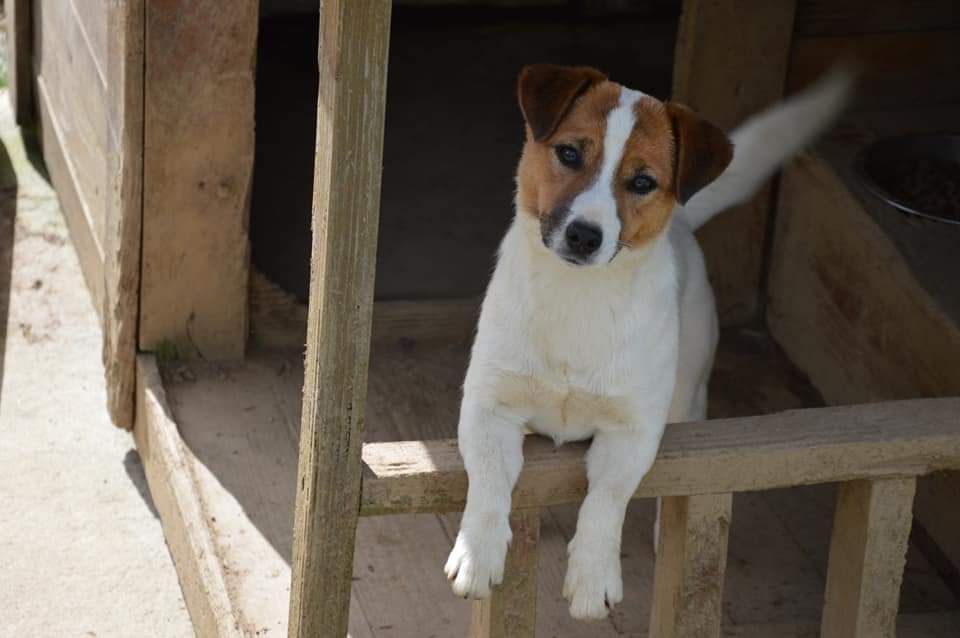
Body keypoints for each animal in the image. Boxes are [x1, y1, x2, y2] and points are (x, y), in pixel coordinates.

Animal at [446, 63, 852, 620]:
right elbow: (488, 483)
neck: (579, 299)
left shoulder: (632, 431)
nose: (584, 236)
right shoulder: (490, 408)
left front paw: (593, 576)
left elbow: (607, 499)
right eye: (569, 154)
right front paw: (477, 553)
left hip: (688, 392)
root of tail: (683, 221)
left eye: (642, 182)